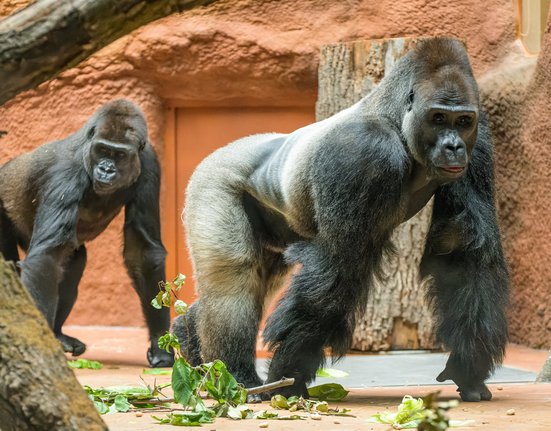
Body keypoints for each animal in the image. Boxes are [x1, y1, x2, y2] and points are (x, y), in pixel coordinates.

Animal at [0, 100, 174, 368]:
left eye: (120, 155)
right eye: (102, 150)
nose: (106, 169)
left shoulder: (149, 163)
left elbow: (142, 251)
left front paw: (160, 343)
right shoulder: (66, 173)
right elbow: (47, 257)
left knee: (73, 262)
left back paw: (59, 335)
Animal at [175, 38, 512, 404]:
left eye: (463, 121)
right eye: (438, 118)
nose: (453, 147)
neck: (395, 119)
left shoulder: (478, 143)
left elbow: (465, 249)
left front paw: (468, 368)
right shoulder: (364, 152)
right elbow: (338, 267)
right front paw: (288, 376)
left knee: (260, 277)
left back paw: (191, 341)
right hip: (212, 180)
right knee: (235, 278)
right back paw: (237, 375)